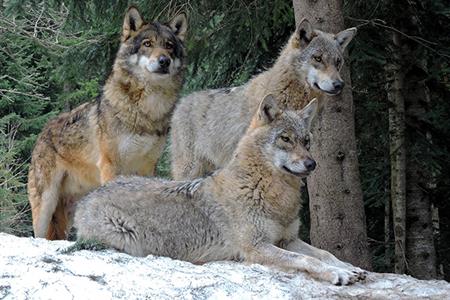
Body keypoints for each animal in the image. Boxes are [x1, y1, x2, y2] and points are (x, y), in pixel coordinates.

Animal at [26, 6, 188, 239]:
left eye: (169, 46)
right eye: (147, 44)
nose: (164, 61)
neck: (147, 111)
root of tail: (43, 133)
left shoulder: (148, 166)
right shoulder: (111, 165)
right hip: (45, 204)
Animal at [74, 96, 368, 286]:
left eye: (306, 141)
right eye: (285, 139)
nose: (312, 164)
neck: (271, 193)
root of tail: (88, 197)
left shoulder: (287, 239)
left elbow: (325, 254)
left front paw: (351, 268)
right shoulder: (256, 247)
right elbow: (307, 260)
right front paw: (338, 274)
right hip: (127, 239)